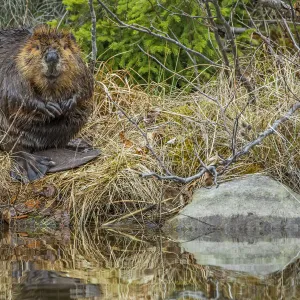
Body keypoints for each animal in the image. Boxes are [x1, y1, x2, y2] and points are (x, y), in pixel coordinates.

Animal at [0, 24, 94, 182]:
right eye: (36, 47)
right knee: (14, 148)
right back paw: (32, 166)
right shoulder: (10, 66)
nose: (51, 57)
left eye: (66, 46)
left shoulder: (81, 67)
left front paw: (67, 104)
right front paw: (49, 107)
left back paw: (81, 147)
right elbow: (13, 93)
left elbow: (86, 86)